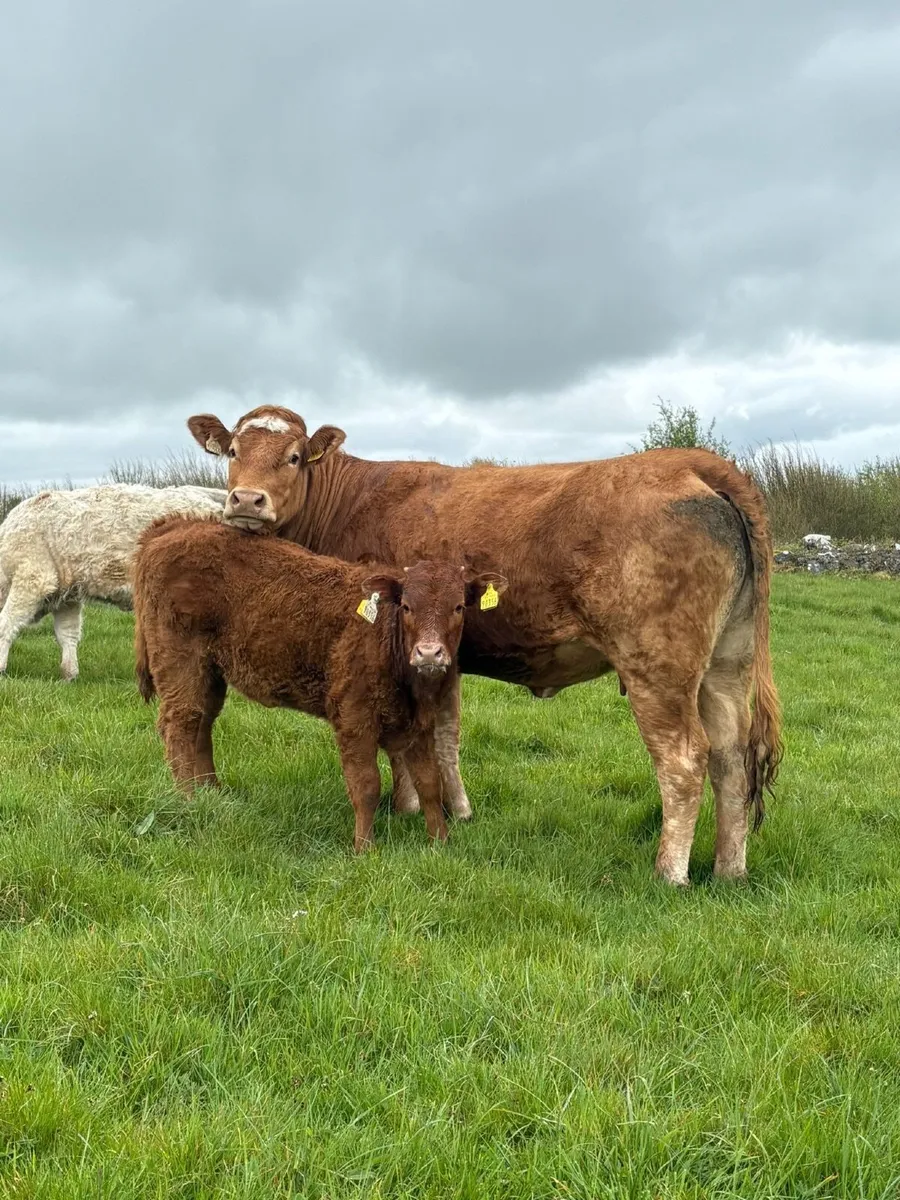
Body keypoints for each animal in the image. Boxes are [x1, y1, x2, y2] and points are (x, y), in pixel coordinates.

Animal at [132, 515, 507, 851]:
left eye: (458, 607)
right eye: (406, 607)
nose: (429, 653)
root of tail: (177, 524)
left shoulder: (419, 721)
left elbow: (429, 783)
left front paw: (440, 842)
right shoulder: (353, 716)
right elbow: (366, 784)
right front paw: (364, 848)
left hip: (211, 671)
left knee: (203, 724)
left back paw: (212, 792)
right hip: (180, 662)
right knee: (180, 725)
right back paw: (188, 799)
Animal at [186, 405, 783, 886]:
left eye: (292, 457)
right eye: (233, 451)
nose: (246, 500)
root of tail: (690, 463)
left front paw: (409, 806)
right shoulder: (437, 656)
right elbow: (444, 734)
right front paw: (451, 810)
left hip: (656, 664)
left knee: (684, 759)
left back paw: (669, 873)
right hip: (727, 662)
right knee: (731, 756)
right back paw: (729, 871)